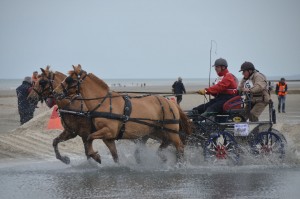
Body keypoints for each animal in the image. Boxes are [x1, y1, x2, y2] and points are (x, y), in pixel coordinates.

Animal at [52, 64, 191, 162]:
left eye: (69, 79)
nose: (55, 91)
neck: (104, 102)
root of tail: (170, 102)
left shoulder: (108, 130)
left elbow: (89, 138)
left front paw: (95, 156)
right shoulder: (108, 137)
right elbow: (114, 155)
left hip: (171, 130)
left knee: (180, 147)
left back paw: (179, 164)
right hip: (156, 131)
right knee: (167, 143)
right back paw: (162, 157)